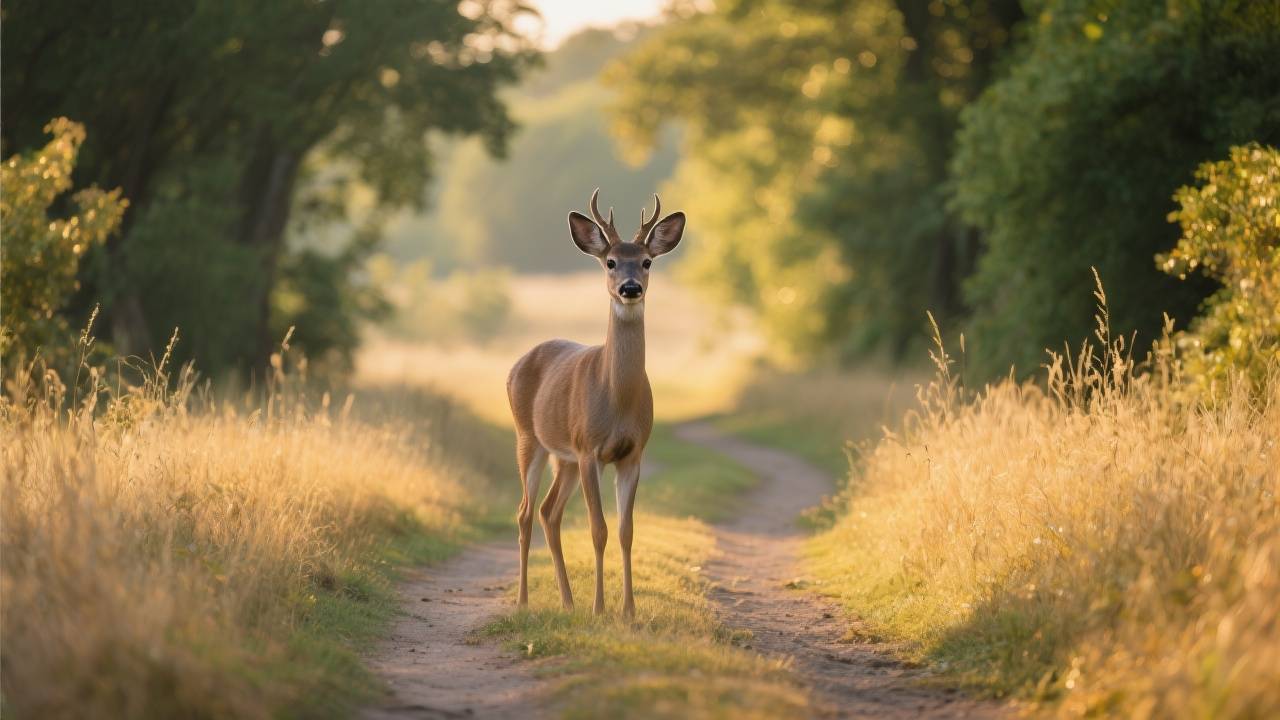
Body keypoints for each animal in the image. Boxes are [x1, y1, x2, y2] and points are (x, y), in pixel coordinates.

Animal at [506, 189, 685, 617]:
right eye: (610, 262)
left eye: (647, 261)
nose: (631, 288)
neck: (617, 399)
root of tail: (517, 364)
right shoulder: (590, 450)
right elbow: (598, 529)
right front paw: (600, 609)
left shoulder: (632, 453)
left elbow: (626, 531)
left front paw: (629, 612)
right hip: (529, 438)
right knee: (524, 513)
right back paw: (523, 601)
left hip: (564, 457)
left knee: (548, 512)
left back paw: (568, 602)